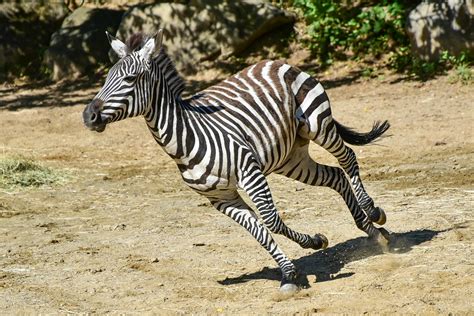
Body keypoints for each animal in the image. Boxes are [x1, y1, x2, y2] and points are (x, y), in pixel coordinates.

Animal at [83, 30, 390, 292]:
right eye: (106, 78)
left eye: (130, 79)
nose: (88, 116)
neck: (186, 138)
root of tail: (272, 60)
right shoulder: (221, 198)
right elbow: (259, 233)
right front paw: (293, 269)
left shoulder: (250, 173)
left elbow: (271, 221)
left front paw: (305, 253)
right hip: (290, 157)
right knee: (334, 176)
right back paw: (373, 233)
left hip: (318, 123)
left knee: (347, 158)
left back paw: (373, 212)